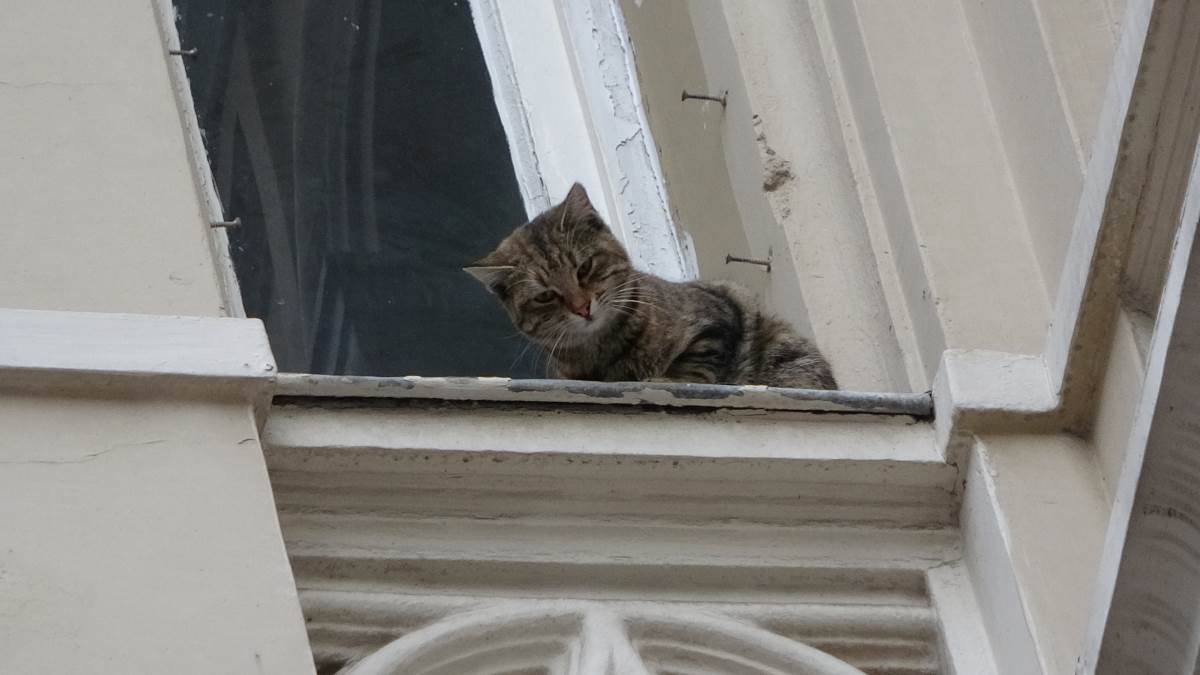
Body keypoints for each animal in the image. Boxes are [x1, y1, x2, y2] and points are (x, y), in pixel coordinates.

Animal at [463, 182, 840, 389]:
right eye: (545, 296)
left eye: (584, 267)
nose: (582, 307)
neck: (608, 351)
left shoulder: (716, 314)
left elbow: (694, 364)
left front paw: (666, 378)